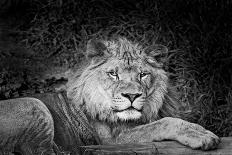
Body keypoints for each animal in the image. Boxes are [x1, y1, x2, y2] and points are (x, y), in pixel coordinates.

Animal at [66, 36, 219, 150]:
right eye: (113, 74)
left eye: (143, 74)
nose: (131, 96)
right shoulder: (110, 141)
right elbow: (161, 124)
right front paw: (201, 136)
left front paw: (198, 128)